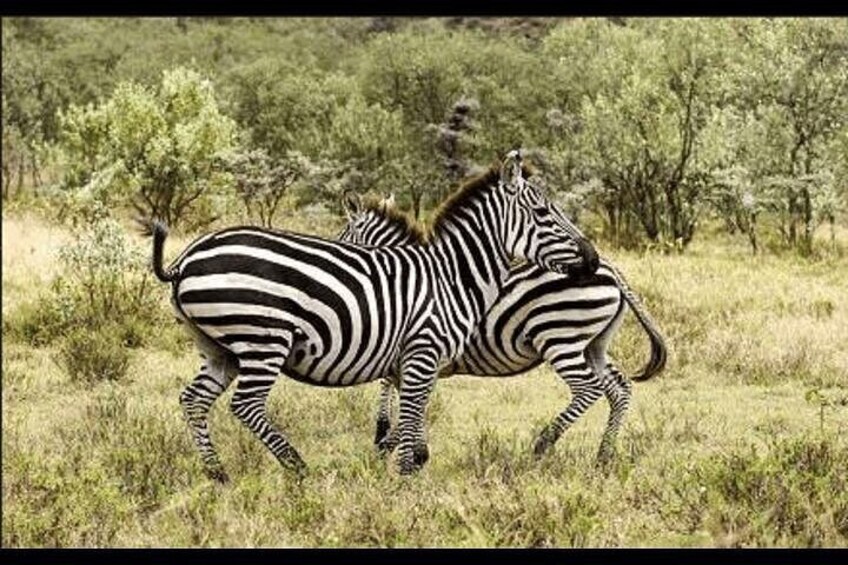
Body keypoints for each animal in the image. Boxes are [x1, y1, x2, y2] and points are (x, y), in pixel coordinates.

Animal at [151, 151, 600, 482]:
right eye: (543, 214)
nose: (593, 260)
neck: (453, 276)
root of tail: (186, 259)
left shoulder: (415, 361)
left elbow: (413, 413)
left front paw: (409, 459)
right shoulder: (421, 352)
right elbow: (412, 412)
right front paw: (403, 478)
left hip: (219, 348)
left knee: (194, 399)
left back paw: (218, 474)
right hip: (263, 338)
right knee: (245, 405)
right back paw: (298, 468)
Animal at [338, 192, 666, 465]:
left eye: (343, 237)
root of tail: (611, 270)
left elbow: (397, 388)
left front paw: (386, 439)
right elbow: (408, 392)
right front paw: (396, 439)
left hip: (560, 337)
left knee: (590, 388)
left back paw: (544, 443)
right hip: (592, 344)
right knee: (619, 388)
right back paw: (604, 455)